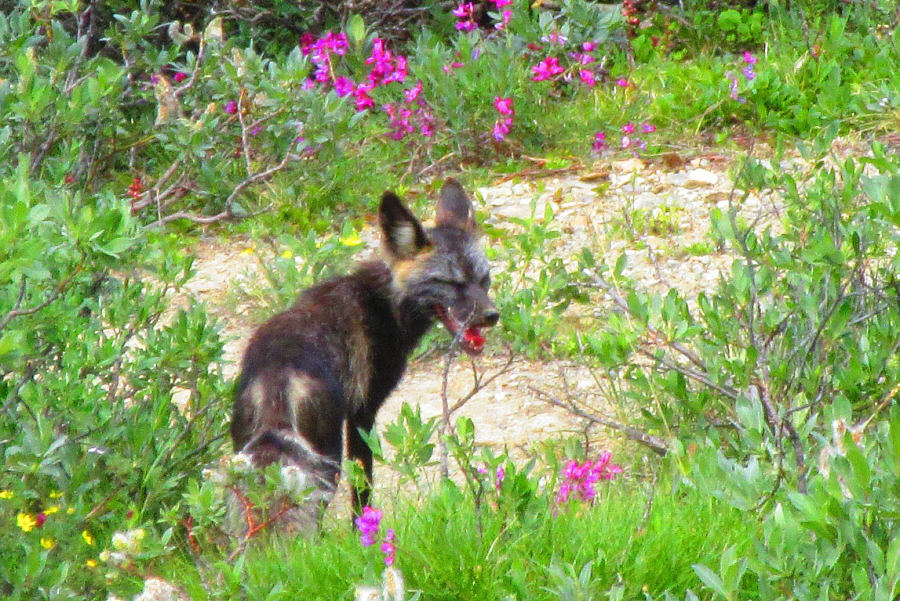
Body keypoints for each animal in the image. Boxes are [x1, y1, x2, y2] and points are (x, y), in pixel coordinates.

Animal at [230, 179, 499, 523]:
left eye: (483, 279)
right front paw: (362, 528)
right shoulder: (363, 412)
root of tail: (278, 372)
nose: (492, 316)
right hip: (326, 465)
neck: (384, 304)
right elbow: (363, 488)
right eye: (449, 283)